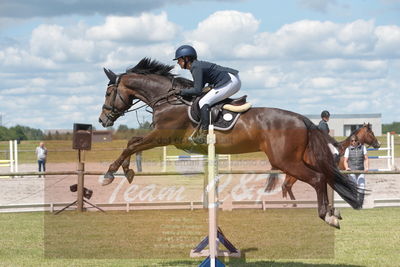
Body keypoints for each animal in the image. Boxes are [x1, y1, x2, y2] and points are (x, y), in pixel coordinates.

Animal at [98, 57, 364, 229]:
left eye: (109, 93)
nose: (103, 119)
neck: (167, 98)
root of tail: (301, 119)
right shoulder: (158, 136)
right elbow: (133, 142)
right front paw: (127, 170)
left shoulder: (162, 135)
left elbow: (131, 145)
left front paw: (110, 174)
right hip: (301, 158)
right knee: (325, 177)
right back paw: (333, 213)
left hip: (284, 160)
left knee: (318, 179)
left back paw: (326, 216)